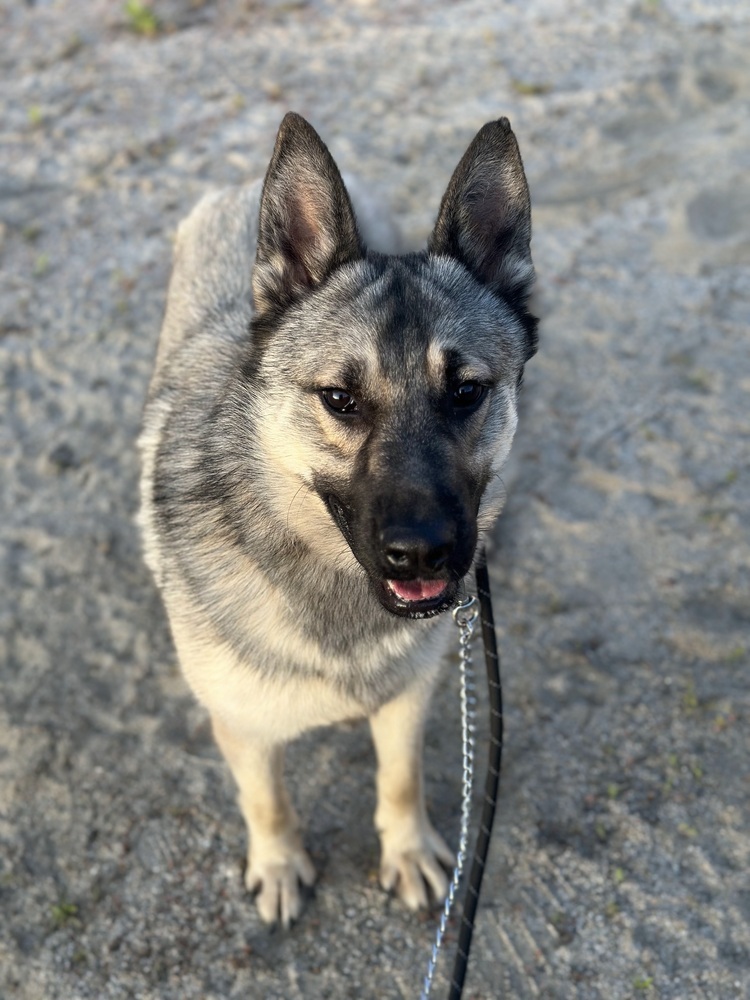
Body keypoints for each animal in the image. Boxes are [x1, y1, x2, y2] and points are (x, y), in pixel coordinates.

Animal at [140, 113, 540, 924]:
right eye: (339, 399)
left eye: (466, 392)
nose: (424, 556)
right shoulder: (243, 727)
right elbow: (266, 801)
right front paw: (279, 862)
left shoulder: (409, 700)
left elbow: (400, 778)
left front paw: (408, 849)